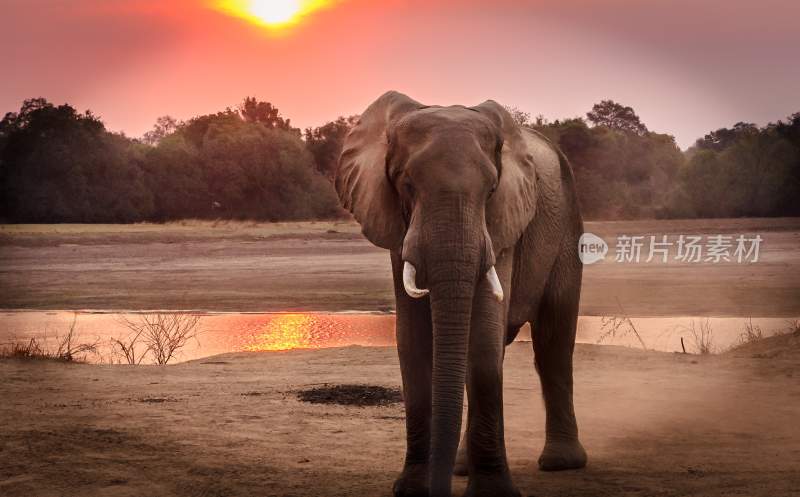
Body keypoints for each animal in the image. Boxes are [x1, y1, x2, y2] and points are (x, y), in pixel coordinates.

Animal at [334, 91, 584, 494]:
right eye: (406, 185)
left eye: (492, 190)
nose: (438, 488)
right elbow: (413, 340)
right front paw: (412, 489)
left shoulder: (502, 222)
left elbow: (482, 337)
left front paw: (492, 493)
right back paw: (463, 467)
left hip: (567, 227)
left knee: (553, 342)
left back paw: (561, 463)